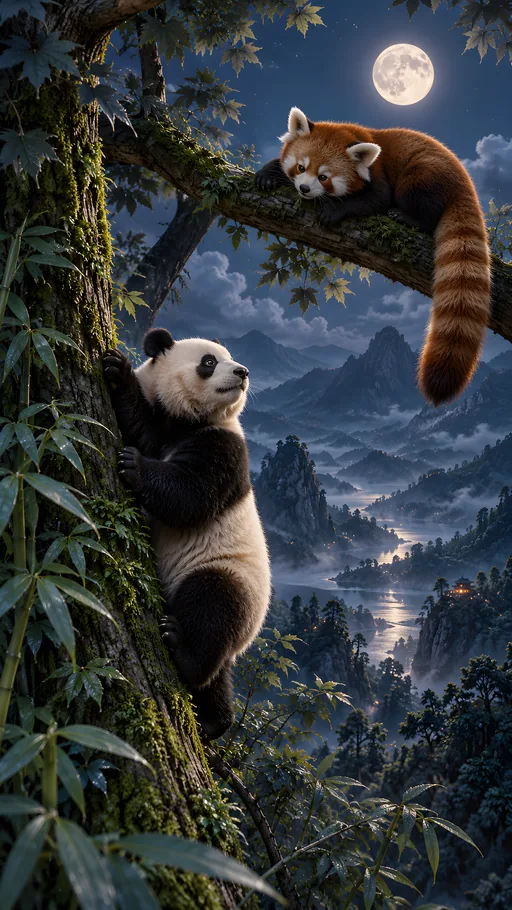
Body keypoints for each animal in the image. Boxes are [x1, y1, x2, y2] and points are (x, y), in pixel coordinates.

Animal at [103, 328, 271, 740]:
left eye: (228, 358)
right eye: (210, 361)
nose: (242, 371)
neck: (192, 421)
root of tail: (247, 637)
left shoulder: (225, 449)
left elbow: (188, 495)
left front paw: (134, 465)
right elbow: (144, 429)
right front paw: (116, 370)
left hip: (225, 575)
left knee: (211, 608)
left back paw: (182, 648)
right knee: (218, 675)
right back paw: (215, 720)